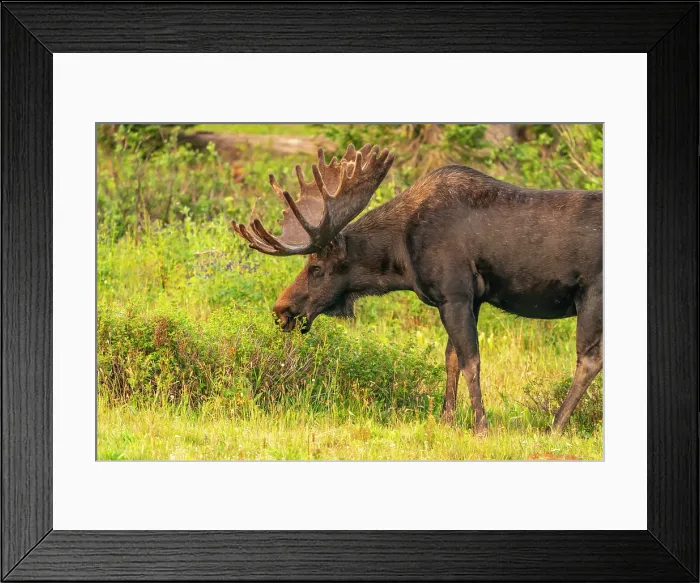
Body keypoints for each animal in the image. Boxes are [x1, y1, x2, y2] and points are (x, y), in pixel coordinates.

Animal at [232, 143, 602, 435]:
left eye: (316, 268)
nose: (281, 309)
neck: (402, 258)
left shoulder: (455, 293)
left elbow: (471, 360)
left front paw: (481, 426)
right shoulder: (469, 299)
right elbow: (451, 358)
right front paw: (446, 421)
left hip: (592, 295)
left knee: (589, 359)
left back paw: (555, 426)